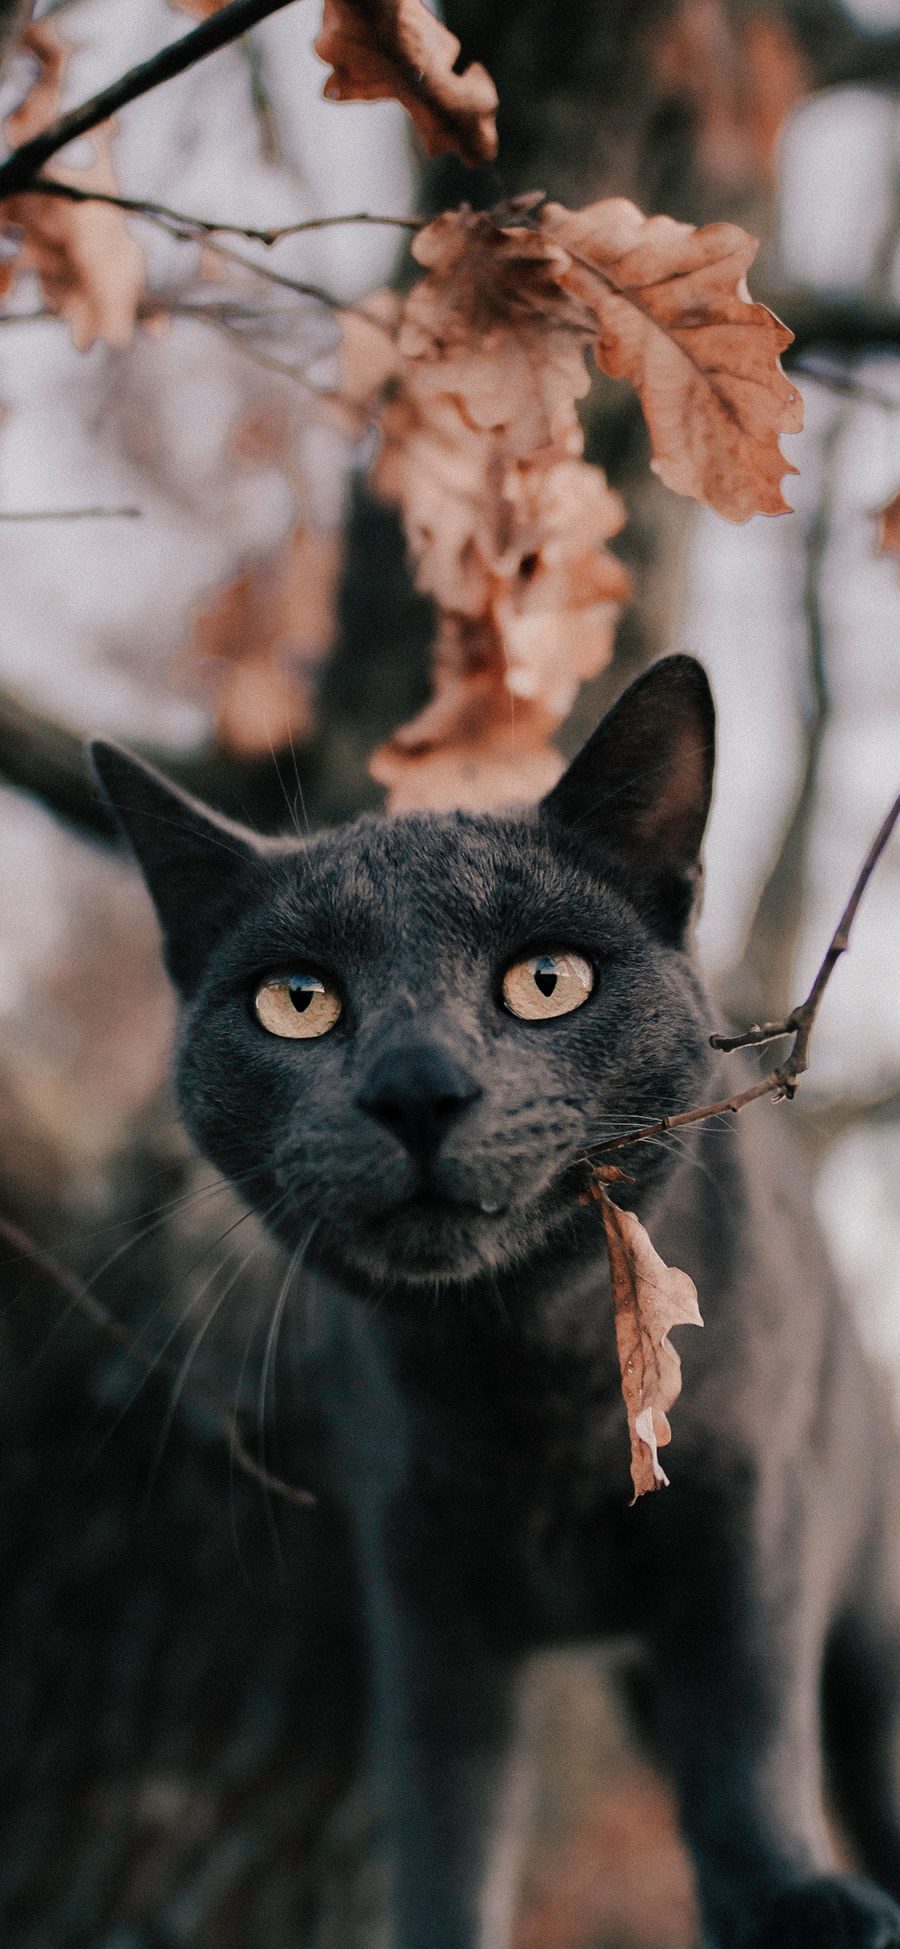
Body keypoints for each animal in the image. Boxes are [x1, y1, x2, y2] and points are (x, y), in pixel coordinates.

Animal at [93, 658, 900, 1949]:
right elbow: (448, 1812)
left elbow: (747, 1737)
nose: (418, 1085)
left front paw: (795, 1898)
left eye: (546, 979)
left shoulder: (752, 1515)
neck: (530, 1379)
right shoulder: (425, 1583)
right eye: (297, 999)